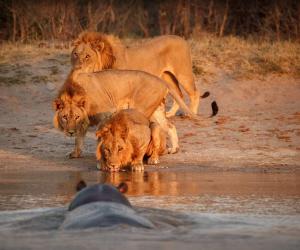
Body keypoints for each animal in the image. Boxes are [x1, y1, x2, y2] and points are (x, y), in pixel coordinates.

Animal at [52, 69, 196, 157]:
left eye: (76, 117)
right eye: (65, 117)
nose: (70, 132)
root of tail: (162, 81)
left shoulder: (107, 112)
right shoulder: (83, 122)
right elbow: (79, 138)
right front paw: (75, 153)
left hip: (141, 109)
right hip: (157, 111)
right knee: (170, 126)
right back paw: (174, 149)